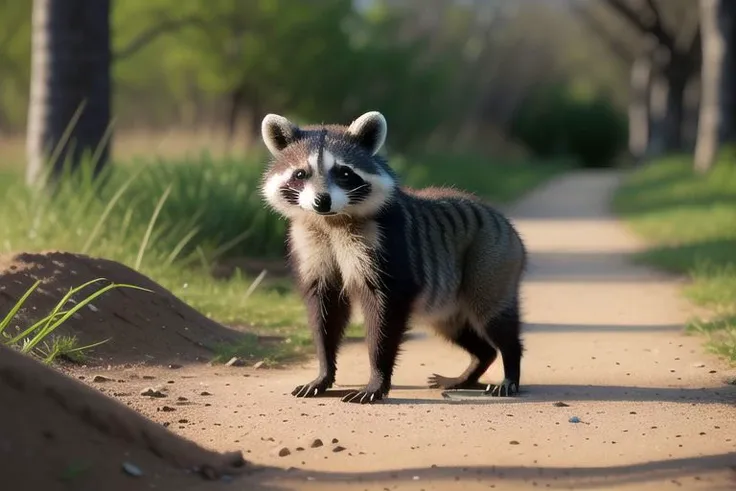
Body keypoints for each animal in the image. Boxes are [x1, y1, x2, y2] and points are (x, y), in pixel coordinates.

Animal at [262, 110, 528, 404]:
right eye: (301, 173)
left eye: (344, 173)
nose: (322, 201)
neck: (330, 221)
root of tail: (503, 221)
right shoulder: (310, 246)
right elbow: (324, 311)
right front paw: (324, 373)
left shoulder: (386, 245)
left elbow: (385, 314)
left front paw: (377, 380)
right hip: (450, 301)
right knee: (458, 330)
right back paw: (474, 367)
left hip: (491, 259)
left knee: (493, 316)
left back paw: (511, 367)